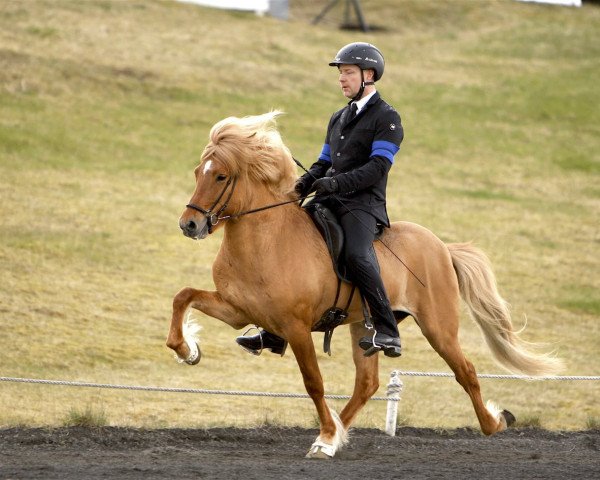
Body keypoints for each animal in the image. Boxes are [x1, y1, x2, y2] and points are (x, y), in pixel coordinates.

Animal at [165, 110, 564, 460]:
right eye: (198, 171)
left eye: (220, 177)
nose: (189, 225)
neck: (267, 240)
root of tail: (442, 247)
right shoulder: (238, 310)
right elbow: (183, 296)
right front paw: (188, 350)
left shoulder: (297, 327)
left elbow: (314, 383)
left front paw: (325, 435)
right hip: (365, 325)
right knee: (367, 384)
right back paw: (333, 436)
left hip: (438, 327)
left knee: (464, 371)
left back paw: (493, 424)